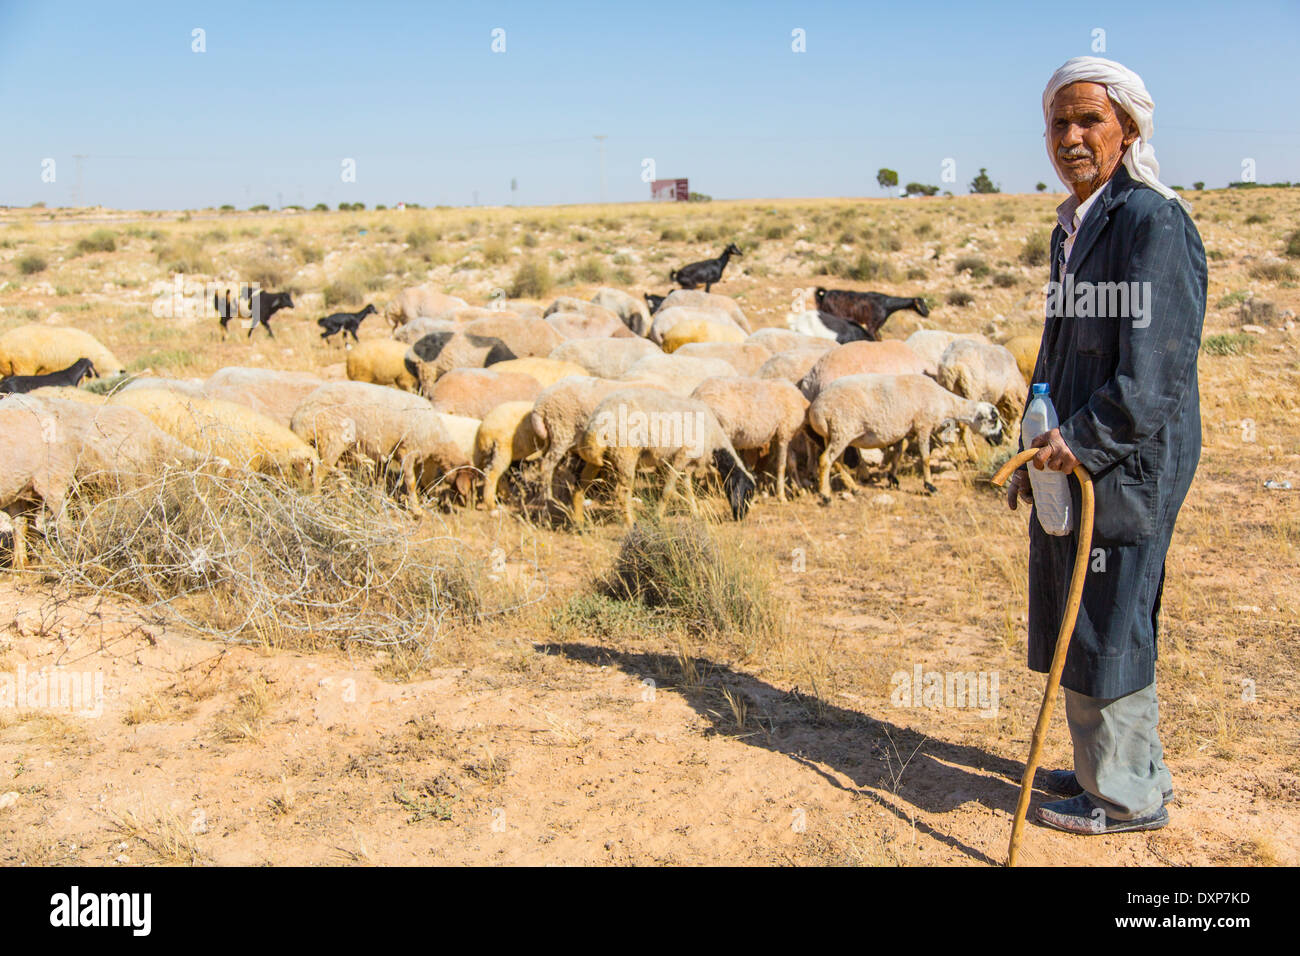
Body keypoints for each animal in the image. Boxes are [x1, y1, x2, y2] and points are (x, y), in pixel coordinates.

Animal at [574, 387, 759, 528]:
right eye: (749, 492)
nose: (740, 516)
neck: (715, 441)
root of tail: (596, 421)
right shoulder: (681, 456)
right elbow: (668, 490)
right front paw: (657, 517)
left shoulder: (688, 465)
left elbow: (688, 489)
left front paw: (695, 513)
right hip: (625, 453)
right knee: (621, 492)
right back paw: (631, 524)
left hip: (601, 456)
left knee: (581, 484)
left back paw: (579, 524)